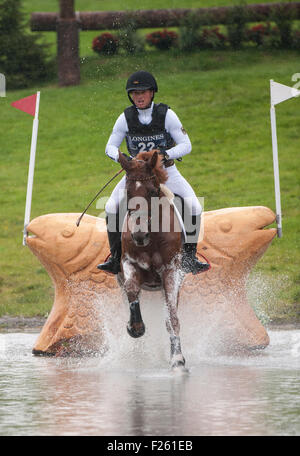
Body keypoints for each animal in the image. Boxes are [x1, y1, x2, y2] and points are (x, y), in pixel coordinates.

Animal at [118, 150, 186, 370]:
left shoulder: (171, 271)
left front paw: (177, 357)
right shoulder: (129, 263)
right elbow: (132, 290)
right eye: (128, 192)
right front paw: (135, 327)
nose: (139, 236)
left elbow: (171, 317)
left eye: (153, 191)